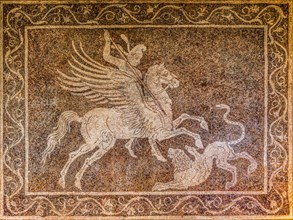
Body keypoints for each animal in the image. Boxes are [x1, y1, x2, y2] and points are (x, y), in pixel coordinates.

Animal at [40, 39, 208, 189]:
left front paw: (204, 125)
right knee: (81, 157)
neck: (157, 107)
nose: (176, 82)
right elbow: (183, 130)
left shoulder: (169, 126)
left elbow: (185, 117)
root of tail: (83, 118)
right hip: (98, 142)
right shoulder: (161, 133)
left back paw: (67, 181)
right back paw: (71, 182)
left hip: (99, 143)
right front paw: (198, 142)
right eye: (165, 73)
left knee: (77, 156)